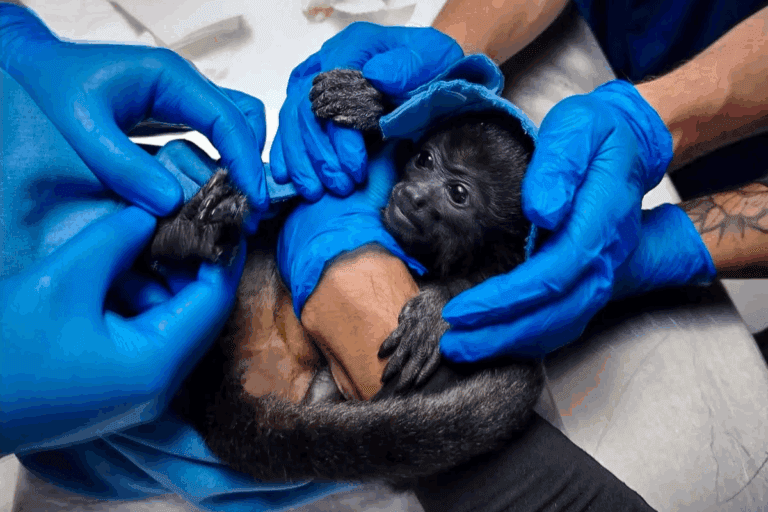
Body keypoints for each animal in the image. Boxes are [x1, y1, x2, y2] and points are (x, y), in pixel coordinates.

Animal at [149, 69, 544, 485]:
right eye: (424, 160)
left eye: (457, 193)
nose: (416, 195)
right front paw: (370, 108)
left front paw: (438, 310)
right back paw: (187, 235)